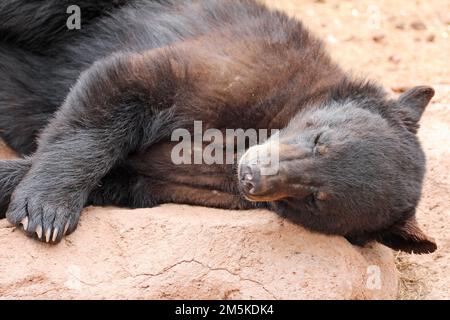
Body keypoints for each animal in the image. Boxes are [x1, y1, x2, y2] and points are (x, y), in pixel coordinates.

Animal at [0, 0, 436, 255]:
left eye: (316, 199)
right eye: (319, 138)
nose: (251, 174)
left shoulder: (186, 183)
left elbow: (128, 175)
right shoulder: (248, 68)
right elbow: (127, 81)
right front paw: (45, 211)